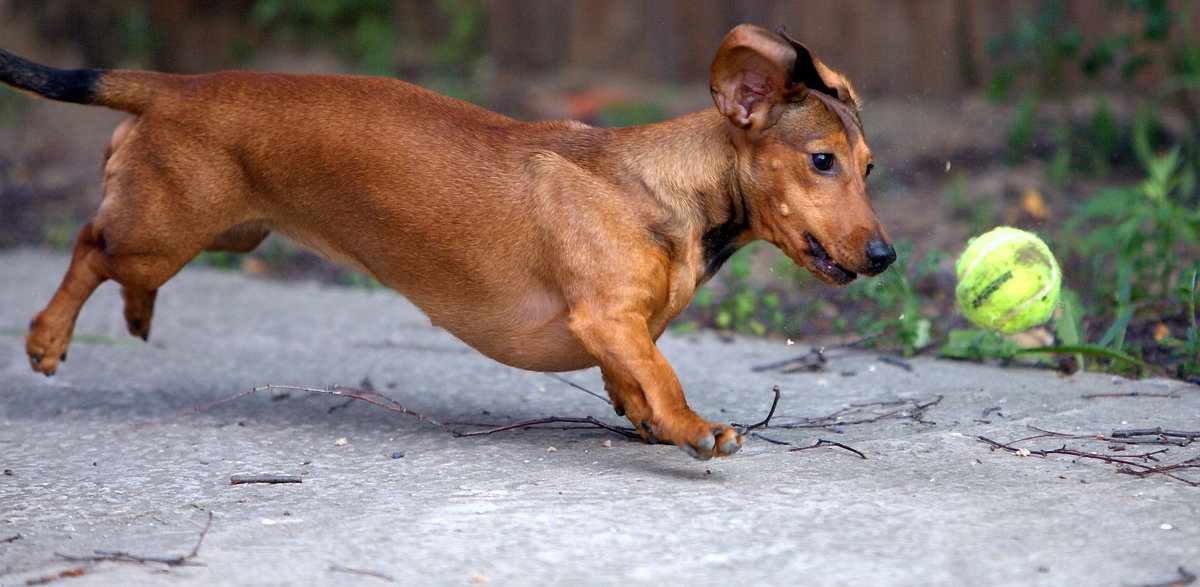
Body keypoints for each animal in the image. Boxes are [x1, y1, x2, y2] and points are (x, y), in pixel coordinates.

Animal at [0, 25, 892, 458]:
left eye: (869, 166)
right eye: (820, 161)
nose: (886, 257)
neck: (662, 188)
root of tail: (178, 84)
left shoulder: (619, 331)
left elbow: (636, 378)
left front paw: (647, 418)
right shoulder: (608, 318)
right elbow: (662, 375)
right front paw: (689, 424)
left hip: (226, 234)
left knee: (120, 261)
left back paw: (138, 313)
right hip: (165, 232)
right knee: (89, 246)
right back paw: (46, 338)